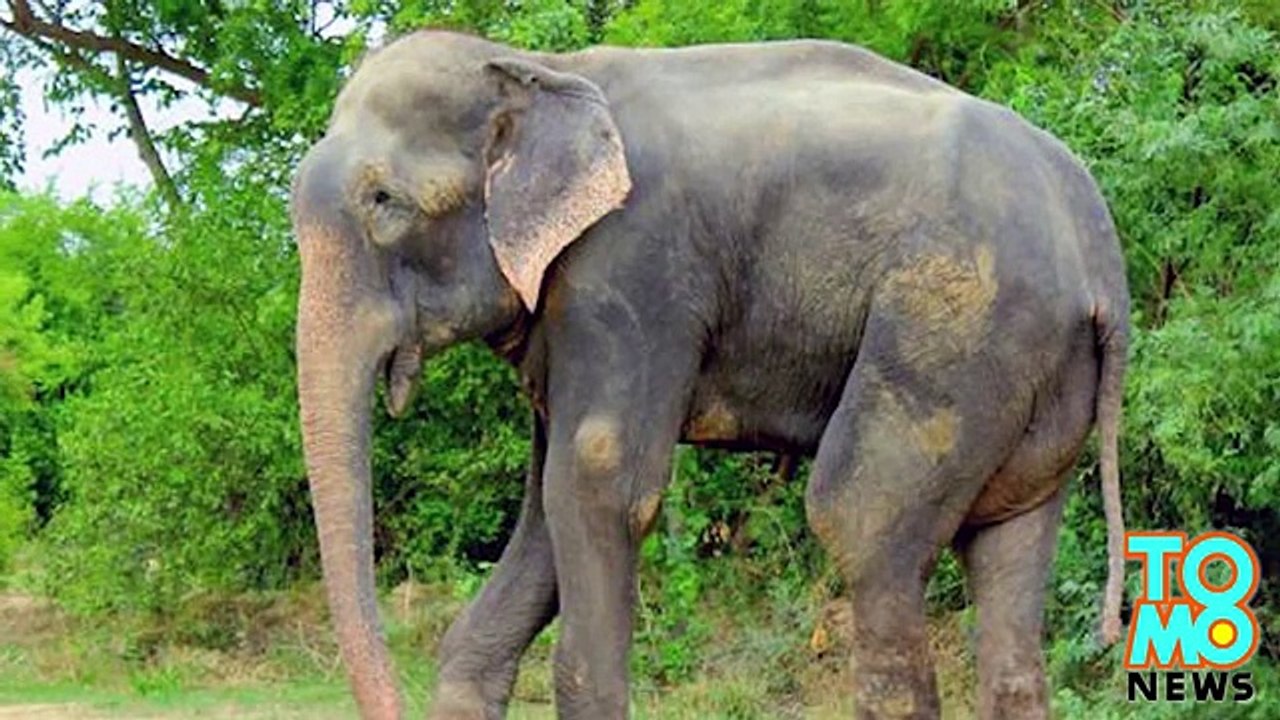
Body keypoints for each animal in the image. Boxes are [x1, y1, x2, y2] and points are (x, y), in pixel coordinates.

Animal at [291, 29, 1129, 720]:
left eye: (384, 202)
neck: (542, 68)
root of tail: (1102, 258)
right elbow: (543, 515)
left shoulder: (633, 270)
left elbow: (599, 482)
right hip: (1036, 373)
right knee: (1007, 549)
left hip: (960, 323)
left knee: (859, 520)